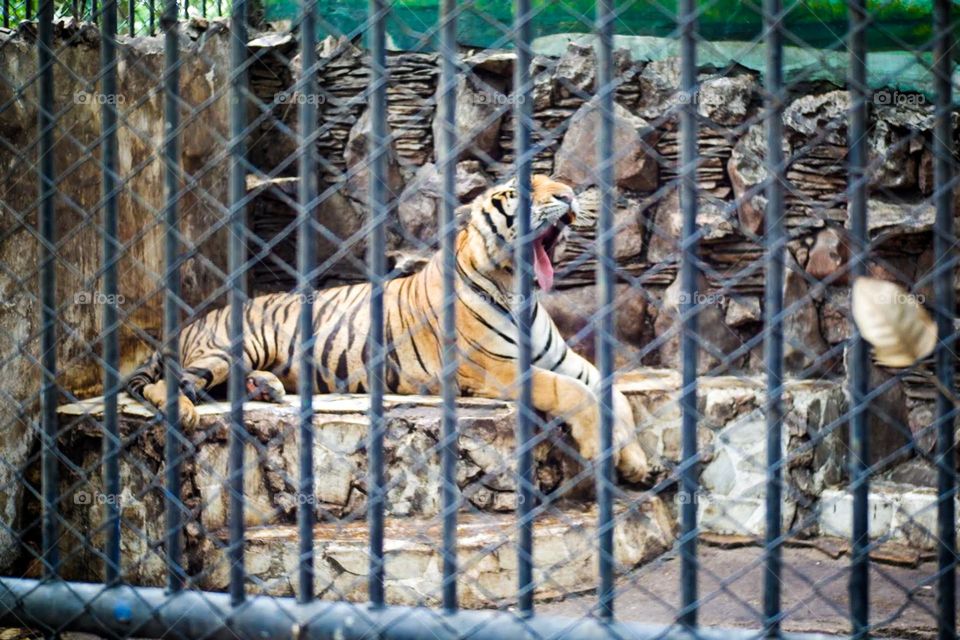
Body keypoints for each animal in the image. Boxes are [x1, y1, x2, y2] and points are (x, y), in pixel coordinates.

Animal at [127, 175, 650, 483]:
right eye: (521, 192)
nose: (567, 196)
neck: (519, 293)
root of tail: (190, 323)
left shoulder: (566, 361)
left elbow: (614, 393)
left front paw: (637, 462)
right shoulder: (497, 369)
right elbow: (574, 394)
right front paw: (602, 450)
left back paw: (267, 388)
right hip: (229, 348)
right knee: (168, 384)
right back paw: (186, 411)